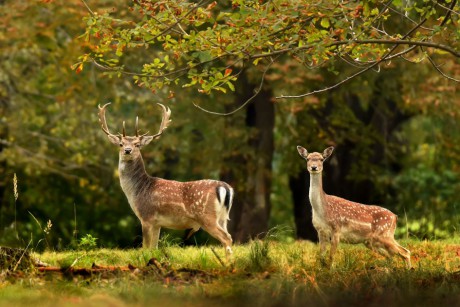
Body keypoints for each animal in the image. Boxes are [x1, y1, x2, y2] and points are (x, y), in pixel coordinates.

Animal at [97, 103, 234, 258]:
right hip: (223, 217)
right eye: (120, 144)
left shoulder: (146, 217)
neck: (137, 191)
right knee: (228, 236)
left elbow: (145, 248)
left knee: (226, 238)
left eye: (137, 144)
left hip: (206, 216)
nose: (127, 150)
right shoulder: (157, 223)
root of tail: (225, 187)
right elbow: (154, 248)